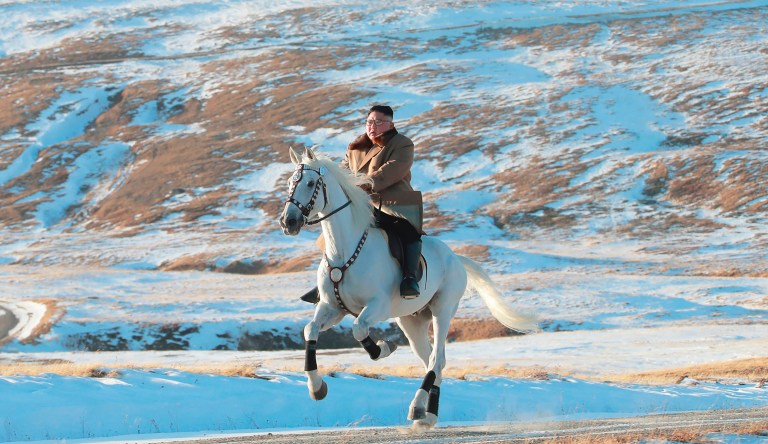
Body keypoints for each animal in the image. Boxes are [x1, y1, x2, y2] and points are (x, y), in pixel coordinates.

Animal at [279, 146, 537, 428]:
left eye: (310, 183)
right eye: (290, 183)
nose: (288, 222)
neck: (344, 250)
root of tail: (456, 258)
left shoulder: (377, 306)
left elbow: (359, 329)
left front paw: (383, 348)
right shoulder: (332, 308)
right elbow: (310, 330)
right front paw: (317, 387)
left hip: (442, 310)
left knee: (436, 359)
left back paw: (417, 408)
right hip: (411, 321)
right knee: (432, 362)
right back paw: (428, 414)